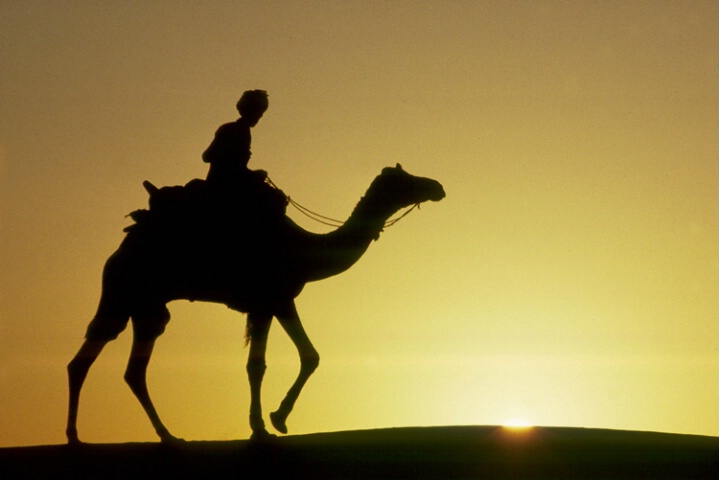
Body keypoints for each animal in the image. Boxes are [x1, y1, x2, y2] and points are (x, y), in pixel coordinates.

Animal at [67, 164, 448, 442]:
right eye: (404, 179)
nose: (437, 186)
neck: (306, 250)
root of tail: (118, 251)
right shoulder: (274, 299)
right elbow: (273, 363)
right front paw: (270, 423)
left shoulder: (271, 303)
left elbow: (290, 359)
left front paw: (270, 421)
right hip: (126, 293)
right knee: (98, 357)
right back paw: (82, 436)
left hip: (145, 307)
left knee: (124, 367)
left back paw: (161, 436)